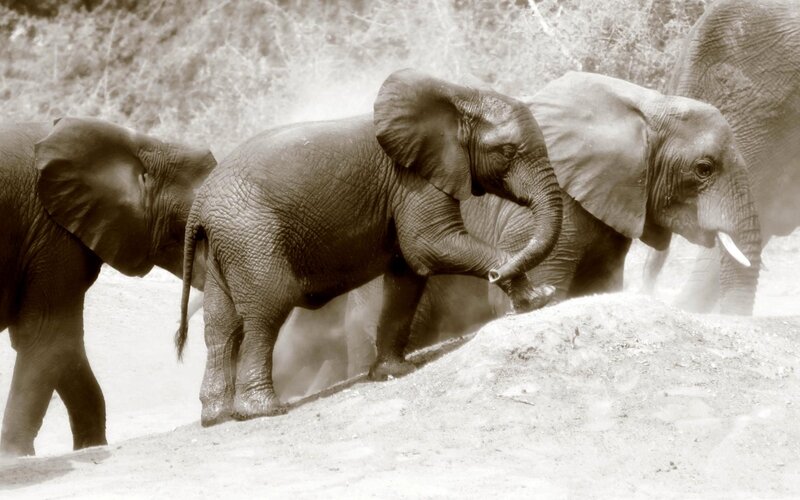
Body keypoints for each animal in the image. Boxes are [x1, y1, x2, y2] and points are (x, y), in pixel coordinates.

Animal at [0, 118, 216, 456]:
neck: (144, 144)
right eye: (199, 231)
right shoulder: (52, 234)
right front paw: (15, 457)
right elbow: (47, 335)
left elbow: (58, 345)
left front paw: (90, 447)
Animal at [176, 69, 564, 426]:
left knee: (221, 325)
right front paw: (540, 298)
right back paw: (263, 411)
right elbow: (430, 246)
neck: (457, 96)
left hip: (227, 243)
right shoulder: (413, 181)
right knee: (266, 308)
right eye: (508, 151)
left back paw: (216, 417)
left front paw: (394, 372)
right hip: (250, 233)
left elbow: (407, 274)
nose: (499, 274)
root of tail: (200, 206)